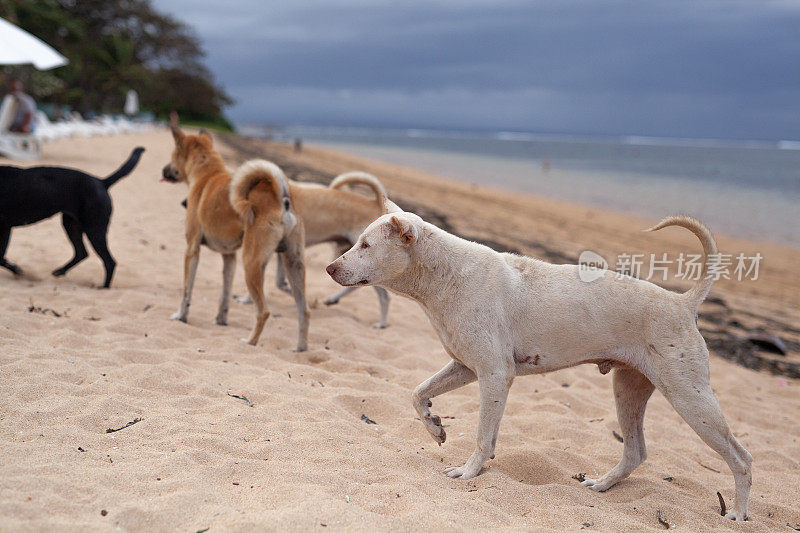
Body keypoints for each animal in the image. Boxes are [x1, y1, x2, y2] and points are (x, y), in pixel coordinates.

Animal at [0, 145, 145, 286]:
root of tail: (101, 182)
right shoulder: (5, 228)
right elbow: (1, 257)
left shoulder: (6, 227)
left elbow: (0, 257)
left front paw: (17, 270)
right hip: (71, 225)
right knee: (82, 253)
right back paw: (60, 271)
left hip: (94, 229)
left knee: (109, 261)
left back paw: (104, 287)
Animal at [161, 127, 308, 352]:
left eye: (172, 156)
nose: (163, 171)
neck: (207, 173)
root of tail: (281, 200)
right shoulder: (229, 257)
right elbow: (225, 293)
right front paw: (220, 320)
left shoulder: (191, 250)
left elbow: (187, 289)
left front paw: (181, 316)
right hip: (293, 265)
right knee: (304, 311)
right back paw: (300, 349)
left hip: (251, 264)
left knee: (263, 311)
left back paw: (250, 341)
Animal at [324, 211, 752, 520]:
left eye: (365, 244)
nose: (329, 268)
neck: (446, 273)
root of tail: (683, 303)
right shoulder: (465, 367)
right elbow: (417, 393)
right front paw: (435, 427)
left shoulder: (494, 376)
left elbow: (482, 436)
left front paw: (468, 473)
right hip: (629, 389)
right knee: (636, 452)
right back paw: (601, 485)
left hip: (690, 398)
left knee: (741, 458)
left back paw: (737, 514)